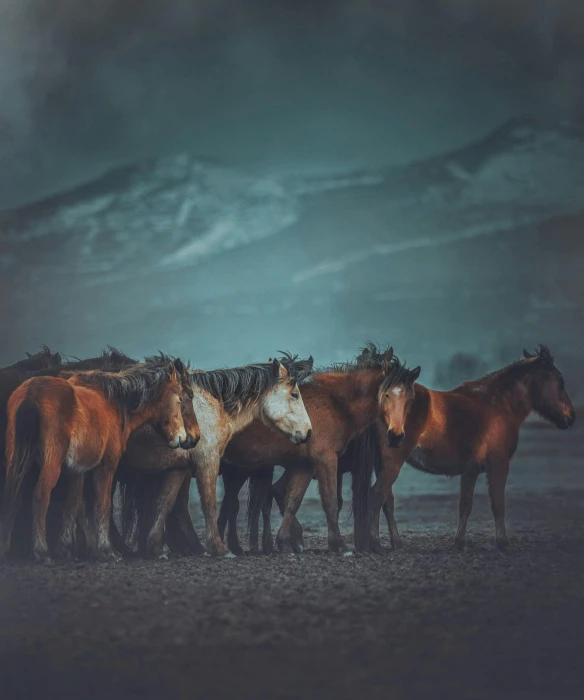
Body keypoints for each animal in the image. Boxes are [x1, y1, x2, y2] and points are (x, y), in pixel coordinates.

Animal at [0, 358, 197, 560]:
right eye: (185, 397)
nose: (189, 438)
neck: (113, 404)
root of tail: (31, 393)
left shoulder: (78, 470)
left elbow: (73, 504)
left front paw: (67, 549)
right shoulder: (106, 466)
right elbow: (103, 505)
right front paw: (106, 550)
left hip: (17, 461)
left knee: (12, 496)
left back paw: (6, 550)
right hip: (50, 465)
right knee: (40, 495)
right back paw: (41, 552)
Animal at [116, 356, 312, 556]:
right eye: (294, 394)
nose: (308, 432)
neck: (211, 407)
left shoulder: (180, 466)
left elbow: (166, 502)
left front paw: (155, 547)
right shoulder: (208, 459)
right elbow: (210, 504)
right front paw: (219, 548)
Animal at [217, 344, 418, 552]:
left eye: (411, 399)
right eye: (386, 394)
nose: (396, 435)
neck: (335, 403)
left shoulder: (306, 464)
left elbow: (294, 500)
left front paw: (285, 542)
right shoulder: (326, 459)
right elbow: (331, 501)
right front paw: (338, 544)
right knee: (232, 504)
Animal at [364, 348, 576, 548]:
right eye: (560, 380)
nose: (571, 416)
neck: (498, 404)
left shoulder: (470, 471)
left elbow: (465, 505)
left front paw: (460, 542)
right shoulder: (498, 465)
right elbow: (498, 504)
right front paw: (502, 542)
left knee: (387, 501)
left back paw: (395, 542)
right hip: (392, 463)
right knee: (377, 494)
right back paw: (374, 542)